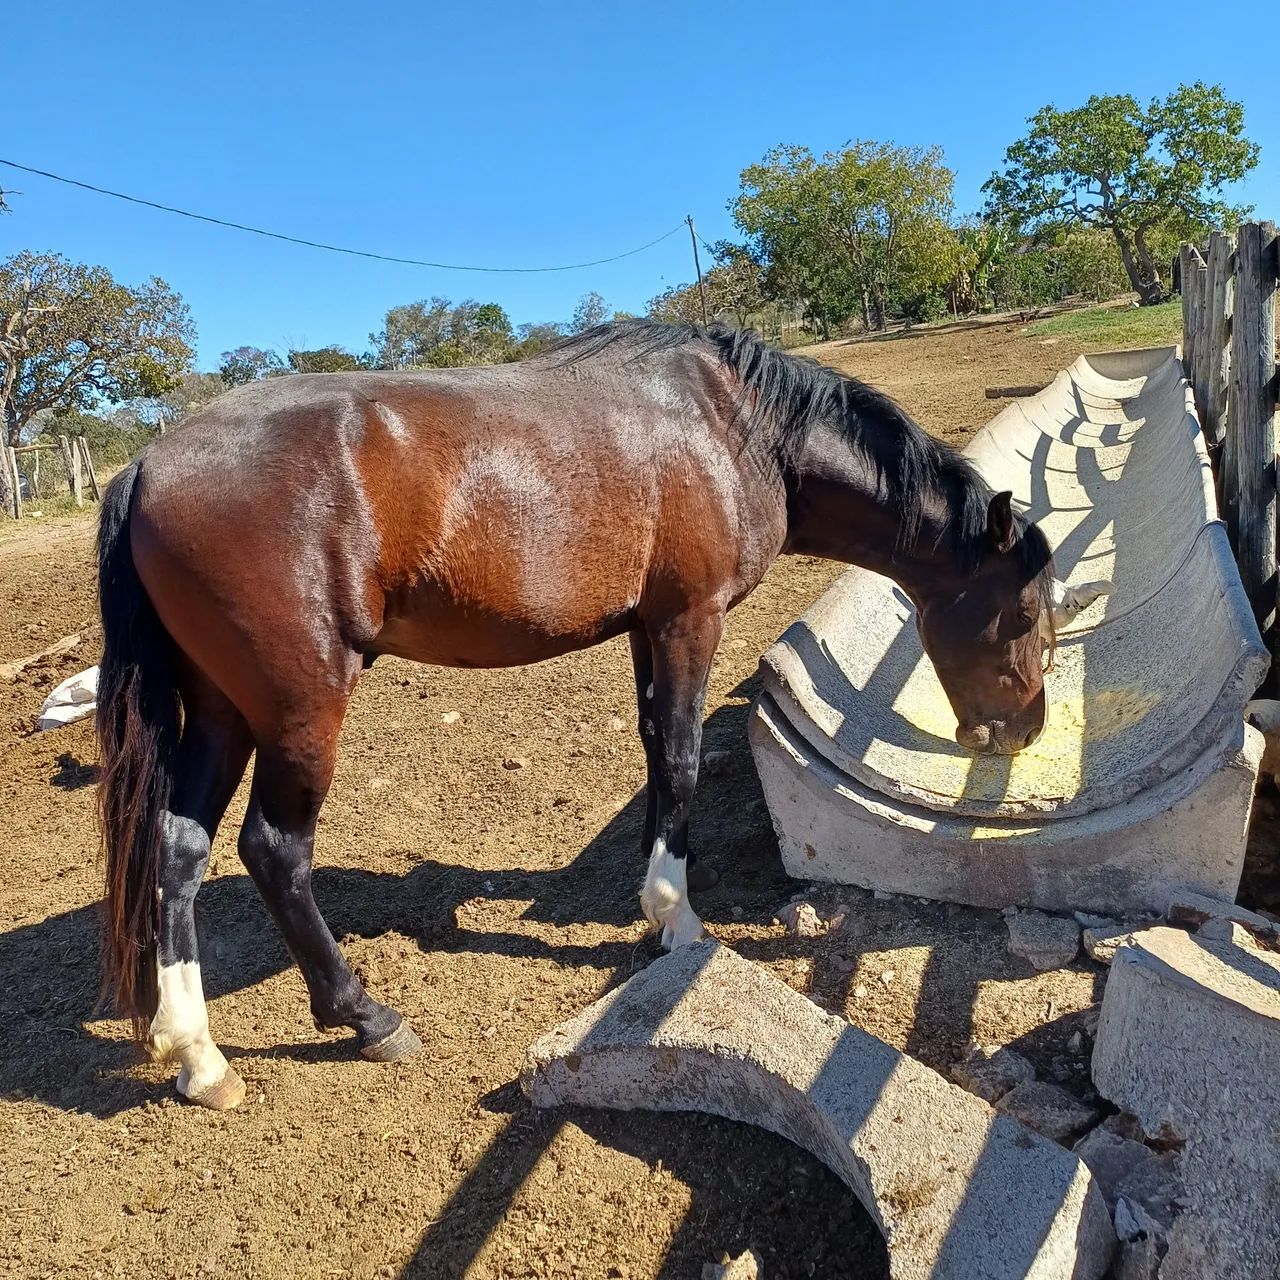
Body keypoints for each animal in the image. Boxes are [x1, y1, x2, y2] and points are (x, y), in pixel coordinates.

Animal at [96, 320, 1056, 1110]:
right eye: (1024, 611)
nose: (1025, 731)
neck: (736, 427)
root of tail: (146, 466)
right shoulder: (689, 619)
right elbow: (680, 757)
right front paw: (674, 917)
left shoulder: (646, 626)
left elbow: (655, 748)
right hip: (300, 713)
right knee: (274, 851)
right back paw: (365, 1016)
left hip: (221, 711)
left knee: (179, 850)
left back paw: (198, 1057)